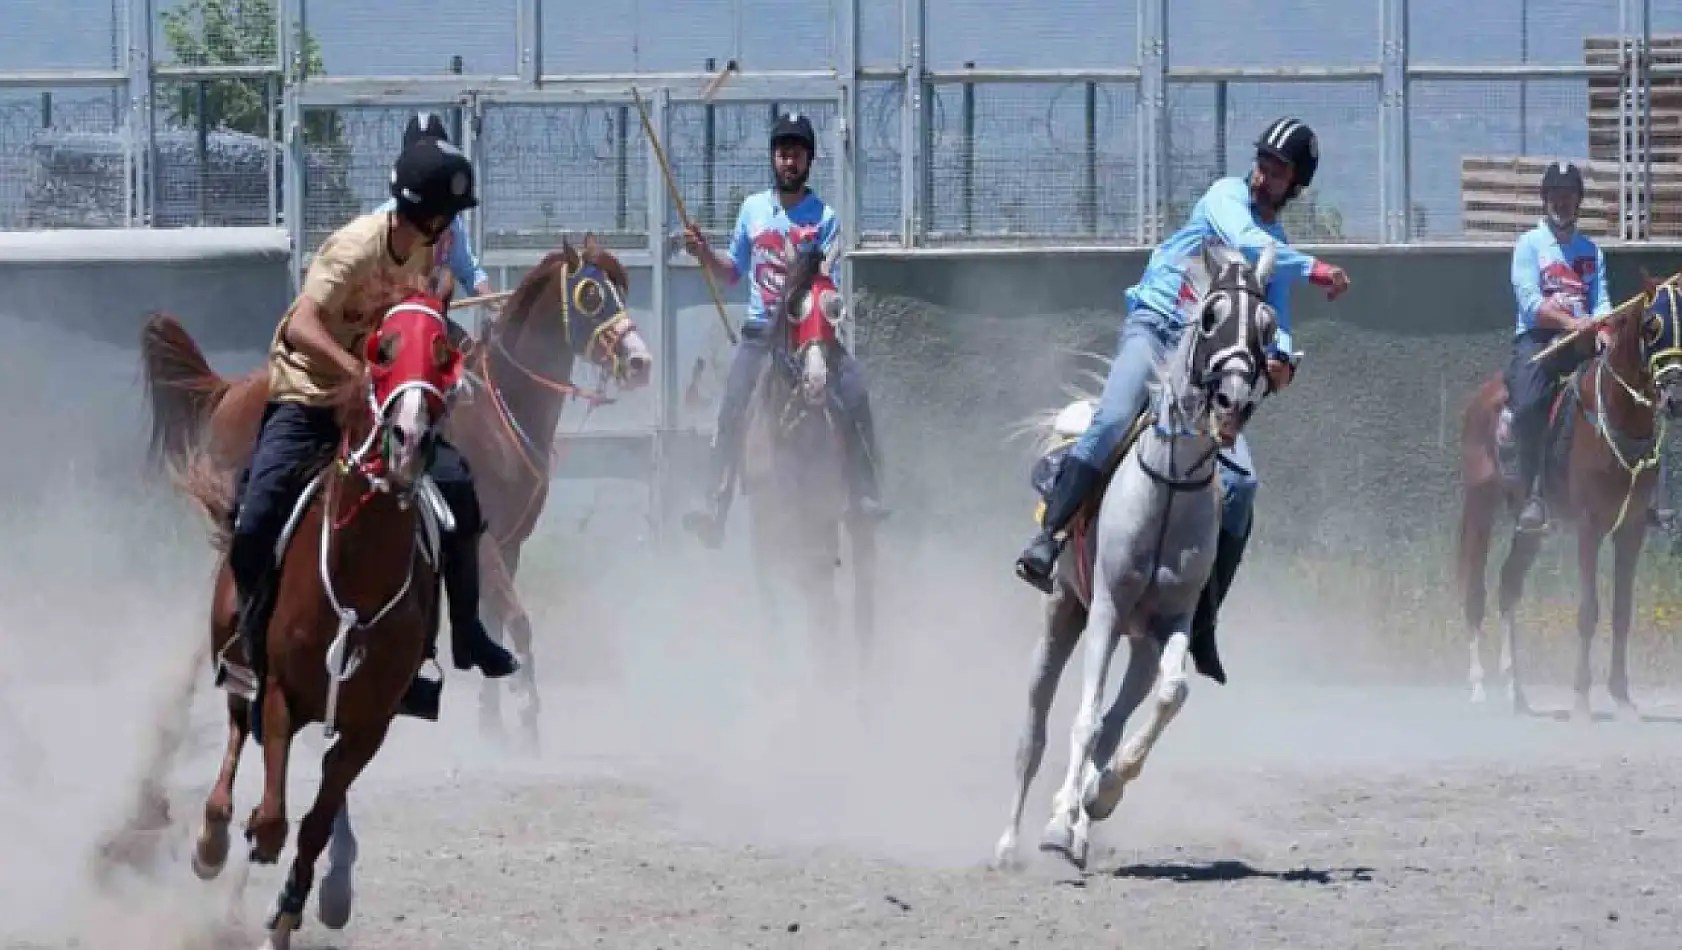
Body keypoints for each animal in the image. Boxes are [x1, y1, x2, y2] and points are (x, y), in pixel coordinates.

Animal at [139, 235, 649, 749]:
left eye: (621, 290)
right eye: (591, 294)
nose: (640, 363)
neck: (497, 411)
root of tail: (226, 390)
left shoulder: (510, 545)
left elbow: (497, 623)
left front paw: (493, 722)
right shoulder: (483, 540)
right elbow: (519, 622)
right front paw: (527, 721)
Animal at [175, 292, 467, 941]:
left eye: (446, 353)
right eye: (382, 349)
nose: (410, 440)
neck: (359, 579)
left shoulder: (370, 723)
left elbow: (314, 819)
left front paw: (289, 909)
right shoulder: (281, 691)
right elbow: (274, 815)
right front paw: (247, 838)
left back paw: (332, 885)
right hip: (236, 649)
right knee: (236, 728)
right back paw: (211, 838)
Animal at [746, 240, 881, 689]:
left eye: (835, 307)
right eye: (793, 305)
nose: (817, 380)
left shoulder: (819, 521)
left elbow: (822, 603)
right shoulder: (765, 526)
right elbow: (771, 603)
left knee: (857, 603)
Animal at [989, 237, 1278, 867]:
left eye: (1268, 327)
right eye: (1211, 316)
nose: (1232, 400)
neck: (1167, 489)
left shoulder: (1173, 621)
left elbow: (1169, 695)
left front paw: (1097, 798)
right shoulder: (1103, 611)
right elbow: (1084, 720)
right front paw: (1057, 825)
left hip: (1140, 645)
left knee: (1123, 714)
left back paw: (1081, 817)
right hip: (1062, 613)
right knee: (1034, 731)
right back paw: (1010, 842)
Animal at [1453, 274, 1675, 719]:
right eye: (1653, 326)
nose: (1675, 397)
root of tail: (1482, 398)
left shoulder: (1631, 529)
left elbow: (1622, 613)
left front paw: (1622, 698)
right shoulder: (1589, 526)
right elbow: (1588, 611)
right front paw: (1582, 700)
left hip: (1532, 530)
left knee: (1508, 585)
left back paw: (1516, 691)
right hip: (1480, 506)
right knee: (1475, 589)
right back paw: (1480, 684)